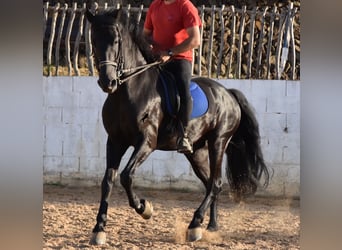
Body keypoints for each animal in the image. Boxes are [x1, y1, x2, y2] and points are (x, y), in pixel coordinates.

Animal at [85, 7, 270, 244]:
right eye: (94, 40)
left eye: (116, 41)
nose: (107, 82)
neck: (130, 90)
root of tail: (228, 93)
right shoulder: (115, 141)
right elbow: (108, 180)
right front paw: (99, 229)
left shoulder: (147, 142)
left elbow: (126, 176)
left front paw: (145, 208)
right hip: (197, 151)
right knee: (211, 183)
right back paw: (209, 226)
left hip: (218, 142)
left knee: (216, 183)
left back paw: (195, 224)